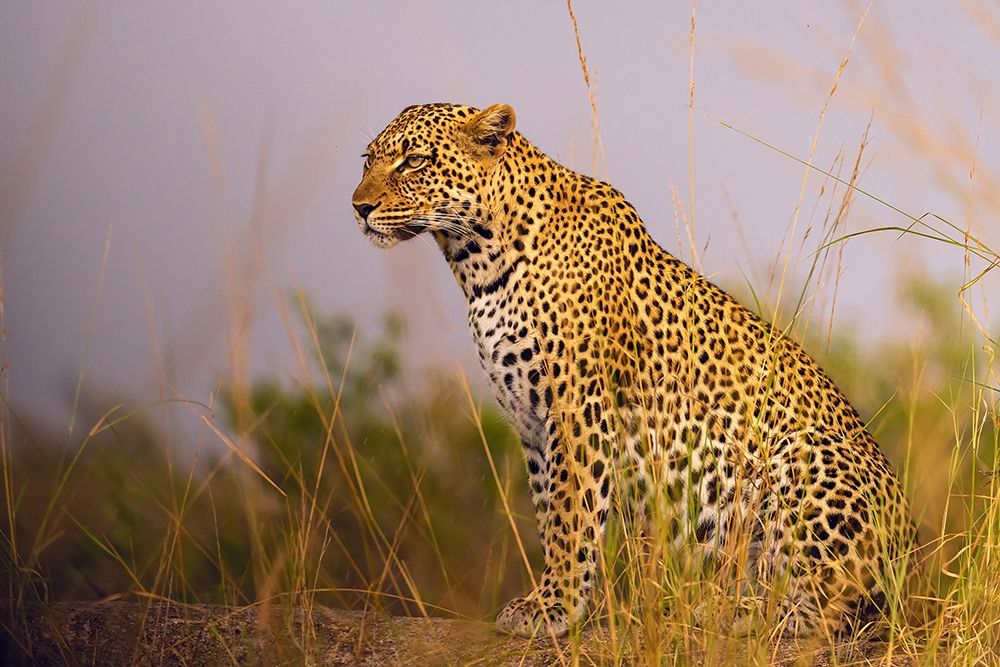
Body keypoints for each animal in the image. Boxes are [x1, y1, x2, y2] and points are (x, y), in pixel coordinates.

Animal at [350, 102, 916, 639]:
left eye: (414, 161)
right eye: (367, 160)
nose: (358, 207)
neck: (475, 261)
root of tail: (911, 560)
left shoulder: (577, 407)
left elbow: (571, 513)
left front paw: (553, 608)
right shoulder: (531, 424)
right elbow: (549, 514)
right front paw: (554, 601)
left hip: (802, 456)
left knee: (822, 608)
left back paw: (728, 611)